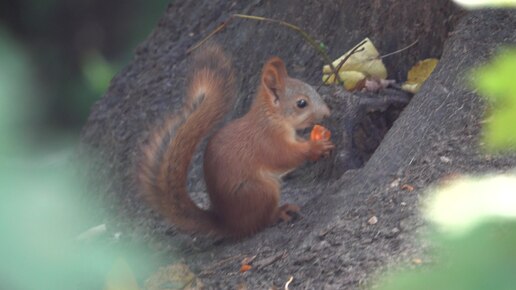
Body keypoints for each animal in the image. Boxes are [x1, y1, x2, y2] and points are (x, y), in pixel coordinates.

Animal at [139, 43, 334, 238]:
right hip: (260, 191)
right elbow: (285, 156)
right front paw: (315, 147)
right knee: (261, 221)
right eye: (301, 103)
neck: (272, 118)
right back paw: (280, 212)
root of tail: (227, 223)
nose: (327, 113)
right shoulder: (266, 140)